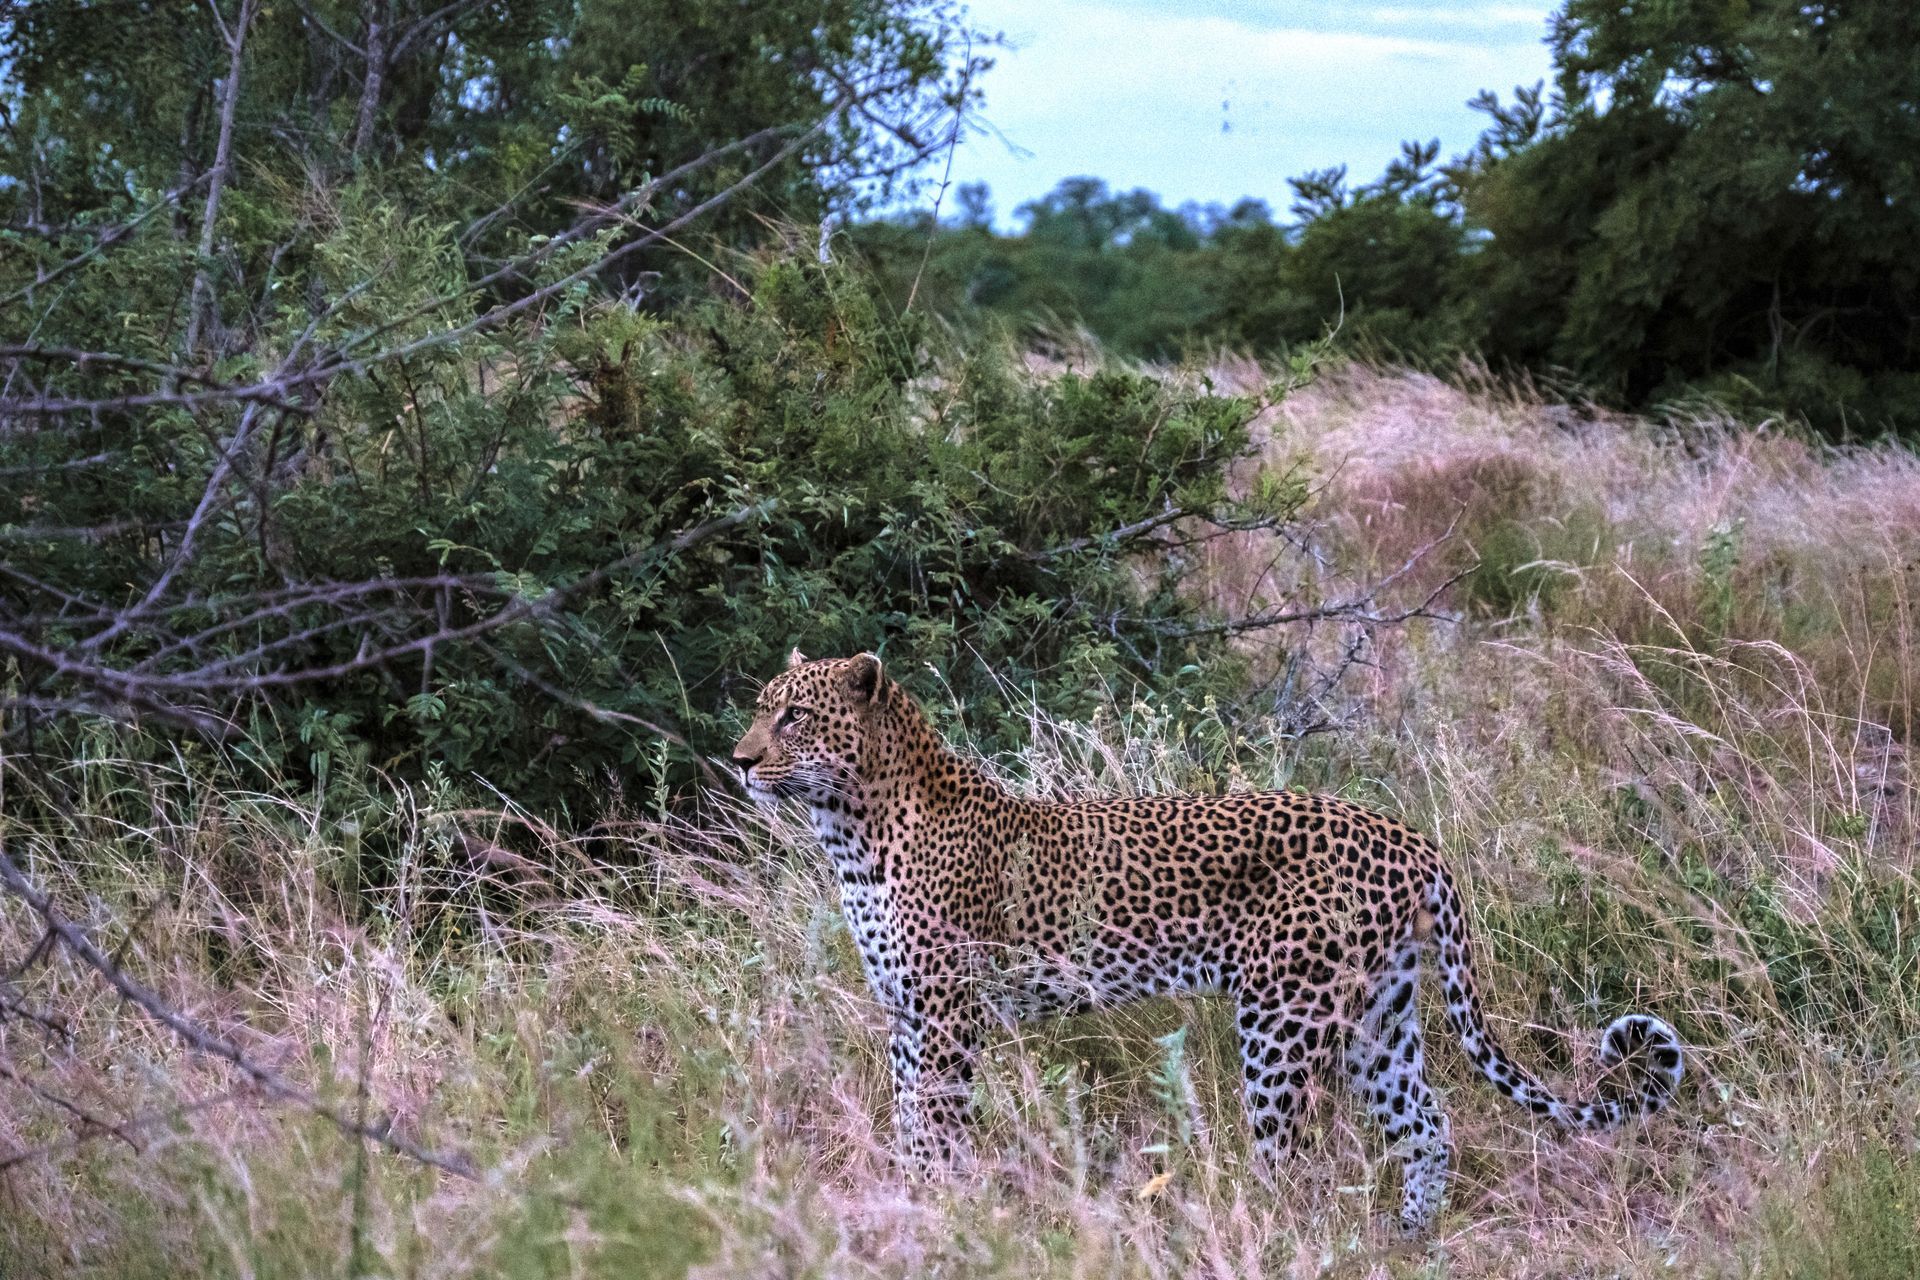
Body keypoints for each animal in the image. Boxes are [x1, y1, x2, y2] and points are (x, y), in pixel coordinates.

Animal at [730, 651, 1685, 1232]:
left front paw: (937, 1207)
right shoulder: (906, 1017)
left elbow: (936, 1124)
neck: (850, 831)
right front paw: (905, 1197)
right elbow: (905, 1120)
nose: (739, 761)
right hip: (1378, 1015)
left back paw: (1262, 1229)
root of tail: (1411, 837)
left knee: (1290, 1159)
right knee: (1426, 1121)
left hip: (1284, 1015)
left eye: (795, 719)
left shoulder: (945, 1015)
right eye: (760, 711)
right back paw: (1410, 1236)